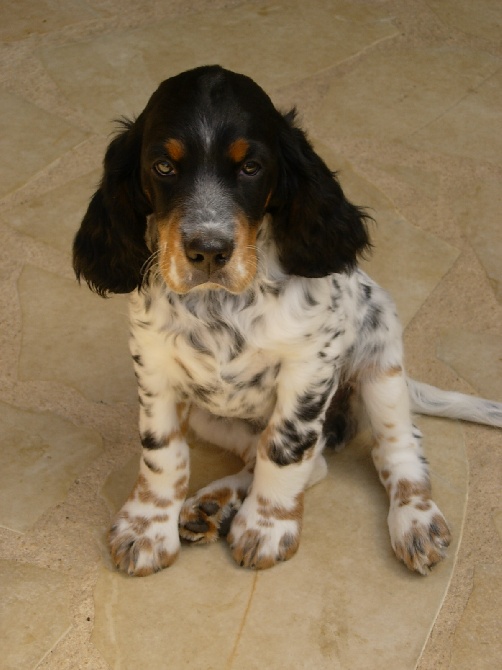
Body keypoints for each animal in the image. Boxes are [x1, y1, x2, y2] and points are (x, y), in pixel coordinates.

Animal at [72, 65, 500, 576]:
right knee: (285, 457)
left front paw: (266, 526)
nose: (209, 250)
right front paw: (146, 527)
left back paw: (414, 520)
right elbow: (162, 452)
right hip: (210, 415)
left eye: (251, 168)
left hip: (381, 360)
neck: (221, 303)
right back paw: (215, 503)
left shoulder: (310, 365)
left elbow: (285, 448)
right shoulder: (154, 363)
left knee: (395, 448)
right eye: (164, 167)